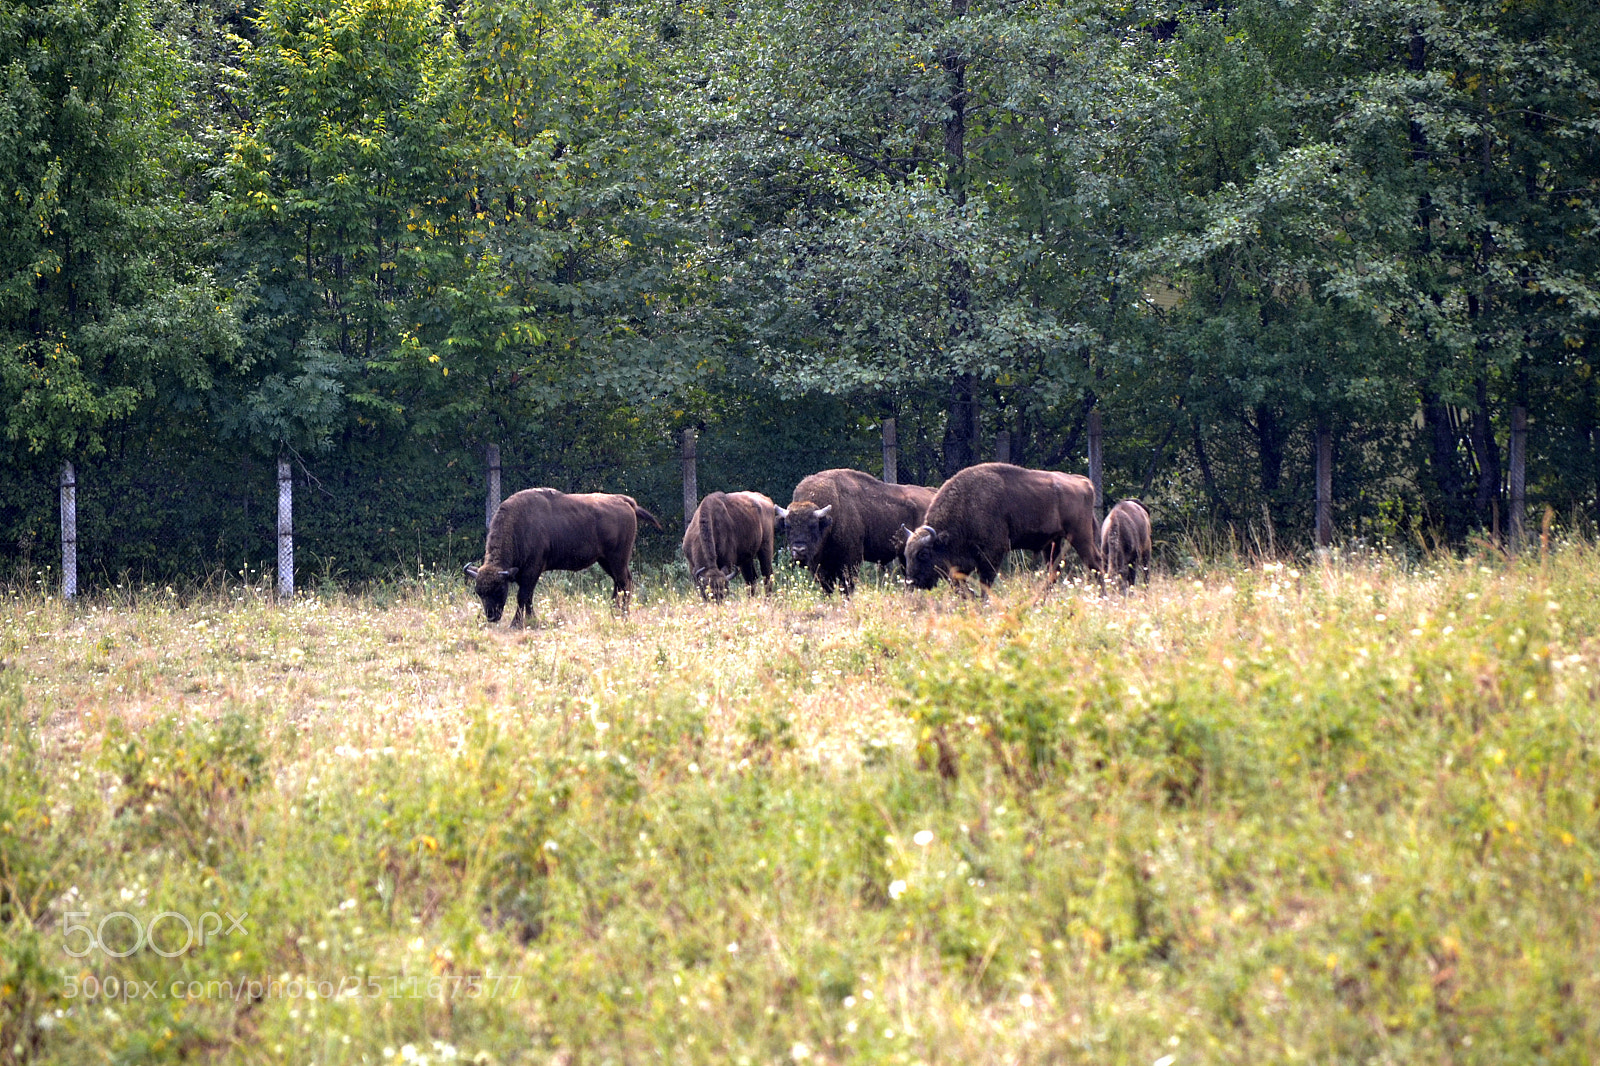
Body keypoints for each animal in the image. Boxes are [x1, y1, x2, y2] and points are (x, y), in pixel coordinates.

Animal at [464, 488, 662, 626]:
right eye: (479, 592)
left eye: (499, 590)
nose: (491, 616)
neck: (520, 525)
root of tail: (625, 501)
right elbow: (528, 598)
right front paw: (531, 619)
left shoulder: (532, 570)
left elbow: (523, 596)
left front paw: (516, 623)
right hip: (606, 560)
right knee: (619, 583)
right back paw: (613, 612)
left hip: (617, 559)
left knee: (625, 582)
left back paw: (623, 614)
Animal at [778, 469, 935, 596]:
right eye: (788, 526)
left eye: (813, 525)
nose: (799, 550)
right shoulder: (820, 567)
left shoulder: (850, 561)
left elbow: (847, 586)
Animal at [903, 463, 1102, 593]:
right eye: (907, 554)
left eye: (923, 553)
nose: (911, 582)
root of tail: (1083, 481)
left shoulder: (992, 554)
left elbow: (985, 582)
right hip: (1053, 542)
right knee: (1054, 571)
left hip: (1080, 536)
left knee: (1095, 563)